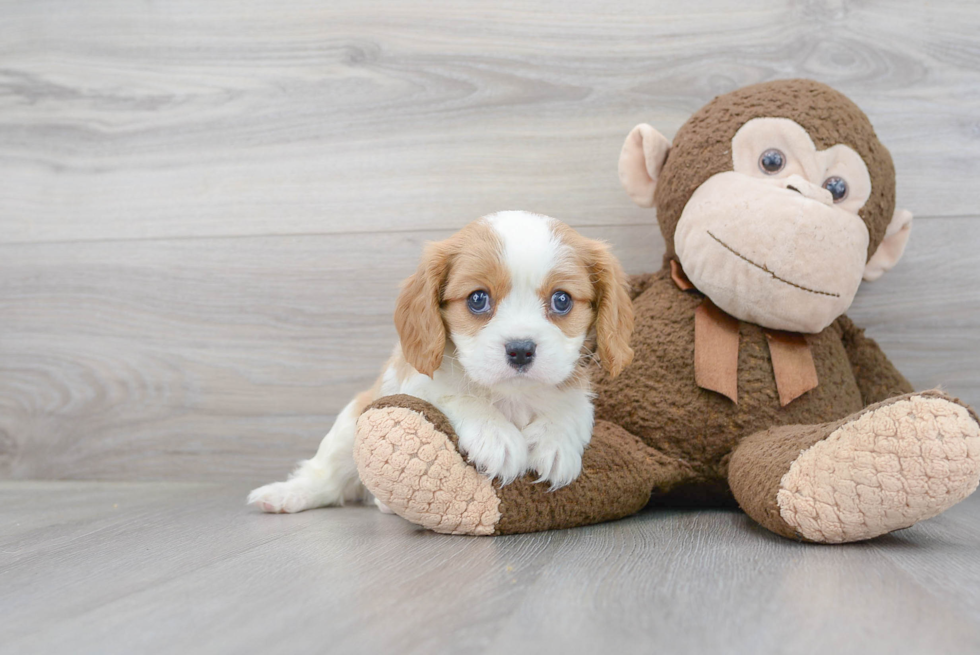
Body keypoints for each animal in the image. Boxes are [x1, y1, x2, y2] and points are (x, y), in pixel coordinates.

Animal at [247, 213, 636, 516]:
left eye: (562, 300)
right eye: (478, 299)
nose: (521, 349)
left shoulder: (578, 393)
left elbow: (571, 407)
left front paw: (555, 441)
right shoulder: (415, 383)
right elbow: (454, 394)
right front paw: (495, 434)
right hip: (349, 425)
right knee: (328, 476)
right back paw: (287, 494)